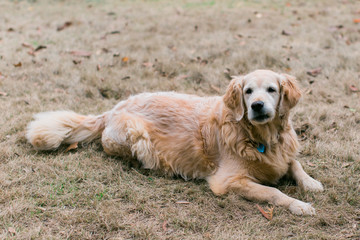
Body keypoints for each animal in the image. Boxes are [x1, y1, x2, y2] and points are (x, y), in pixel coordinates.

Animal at [26, 69, 324, 216]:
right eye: (248, 91)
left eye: (271, 90)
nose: (257, 105)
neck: (260, 137)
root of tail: (111, 109)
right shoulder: (227, 181)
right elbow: (273, 192)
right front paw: (299, 205)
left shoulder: (283, 153)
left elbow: (295, 164)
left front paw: (311, 183)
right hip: (136, 137)